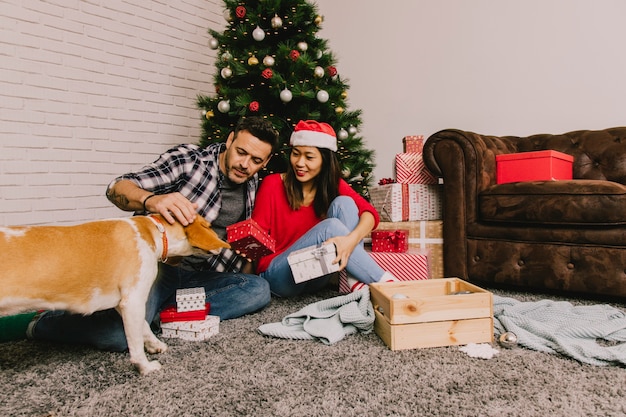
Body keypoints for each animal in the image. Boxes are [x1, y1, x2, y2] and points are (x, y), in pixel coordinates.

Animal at [0, 214, 229, 374]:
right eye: (208, 226)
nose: (223, 241)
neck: (153, 231)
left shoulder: (124, 303)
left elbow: (144, 327)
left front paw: (155, 345)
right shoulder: (133, 300)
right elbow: (135, 341)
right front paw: (145, 367)